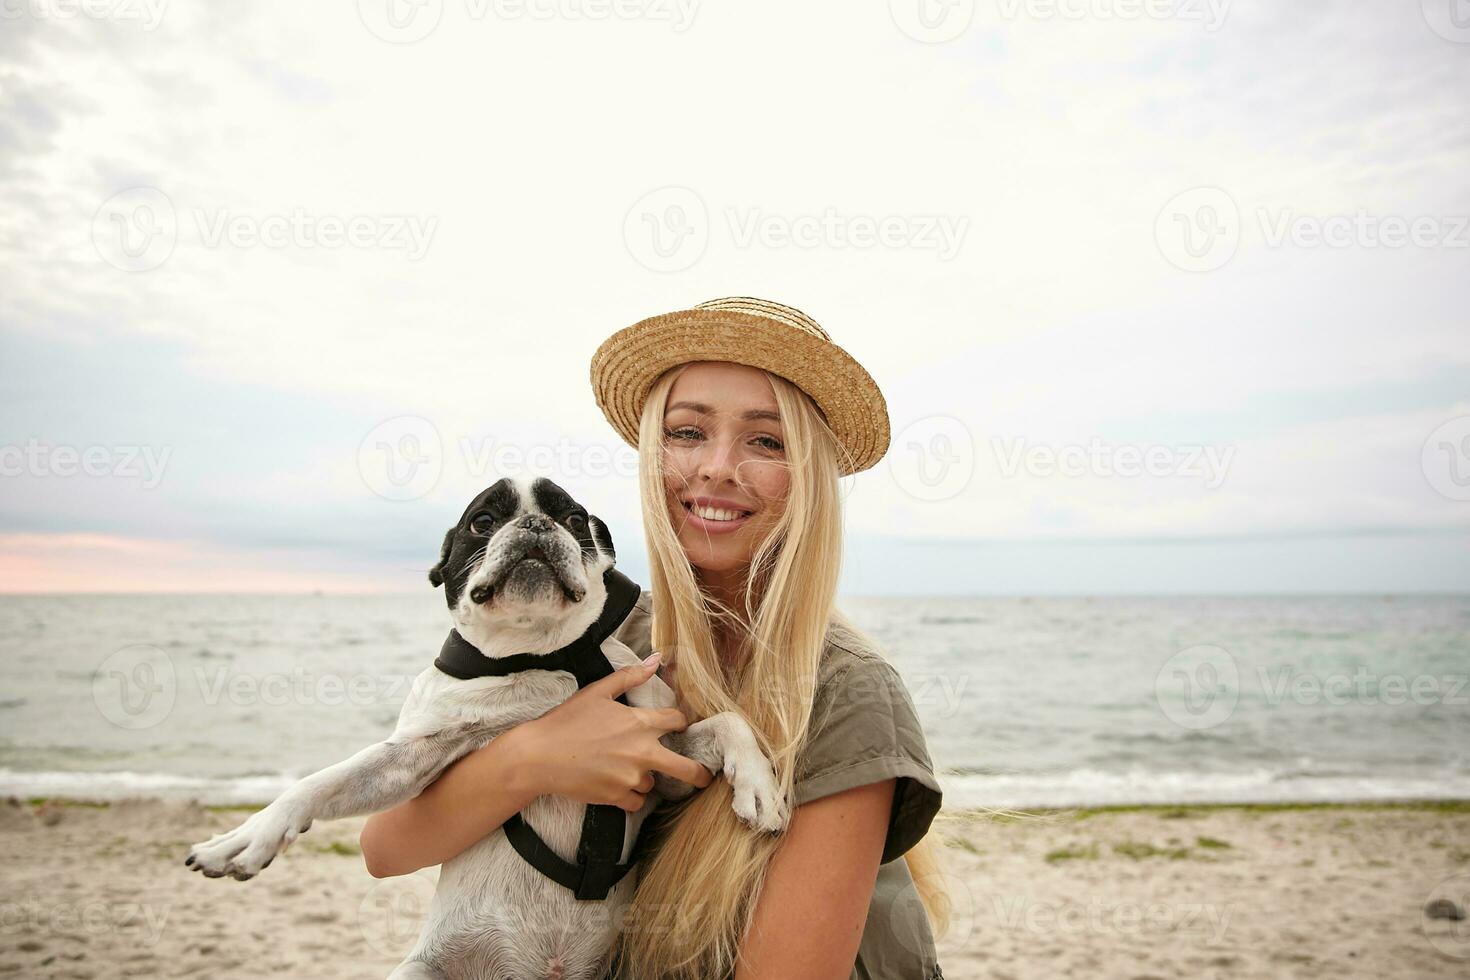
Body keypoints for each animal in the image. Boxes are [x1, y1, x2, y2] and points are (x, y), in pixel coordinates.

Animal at [186, 473, 793, 975]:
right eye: (482, 521)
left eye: (575, 520)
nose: (535, 524)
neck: (546, 657)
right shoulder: (410, 760)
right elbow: (323, 781)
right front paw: (243, 838)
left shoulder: (663, 762)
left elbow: (729, 722)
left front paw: (760, 789)